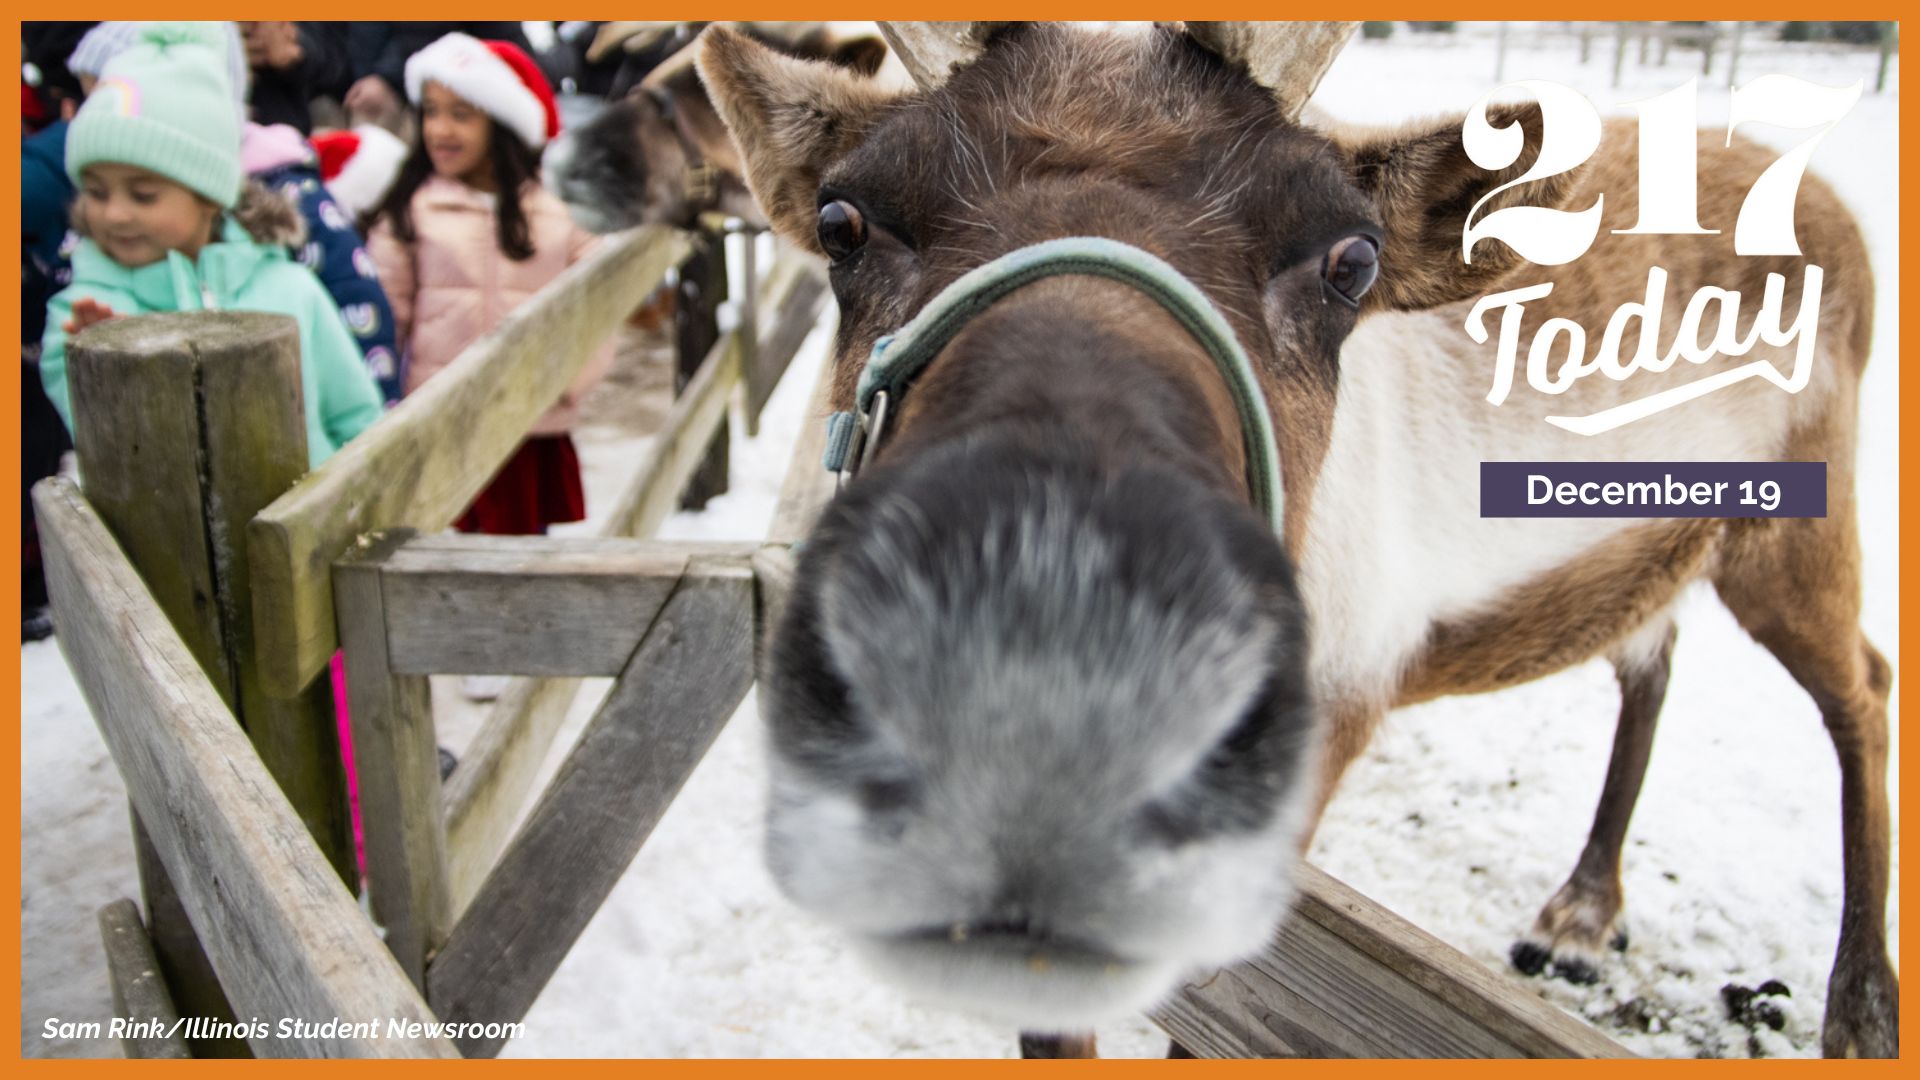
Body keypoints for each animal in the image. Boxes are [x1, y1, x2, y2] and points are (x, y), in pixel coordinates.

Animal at [695, 20, 1896, 1058]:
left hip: (1796, 526)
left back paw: (1859, 1009)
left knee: (1865, 686)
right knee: (1653, 656)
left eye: (1350, 260)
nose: (1040, 637)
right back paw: (1583, 914)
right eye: (844, 222)